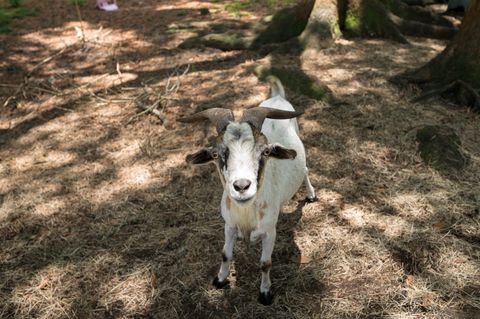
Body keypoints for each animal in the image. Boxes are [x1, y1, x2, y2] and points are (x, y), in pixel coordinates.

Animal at [178, 78, 316, 308]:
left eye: (265, 151)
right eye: (216, 154)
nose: (242, 186)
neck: (246, 215)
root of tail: (277, 96)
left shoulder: (270, 231)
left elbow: (265, 263)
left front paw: (265, 293)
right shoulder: (229, 225)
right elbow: (225, 254)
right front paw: (220, 279)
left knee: (305, 169)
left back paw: (312, 195)